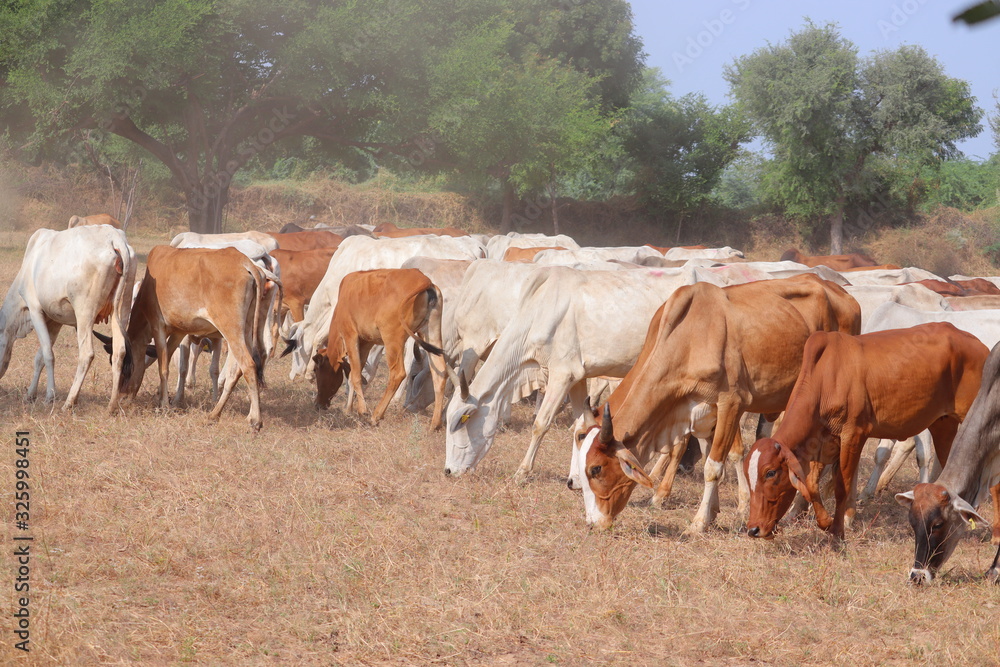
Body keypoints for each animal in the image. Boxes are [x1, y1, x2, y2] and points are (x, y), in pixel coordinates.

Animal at [0, 226, 136, 411]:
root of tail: (114, 237)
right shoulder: (54, 321)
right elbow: (39, 358)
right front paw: (30, 395)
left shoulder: (35, 310)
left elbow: (48, 355)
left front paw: (49, 396)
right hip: (121, 310)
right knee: (119, 352)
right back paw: (111, 405)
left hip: (84, 313)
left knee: (86, 354)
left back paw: (69, 402)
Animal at [119, 246, 275, 431]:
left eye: (125, 368)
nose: (122, 394)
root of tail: (245, 263)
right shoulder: (178, 331)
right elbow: (169, 360)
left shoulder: (158, 326)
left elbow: (163, 367)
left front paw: (164, 405)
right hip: (247, 329)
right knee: (237, 371)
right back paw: (218, 414)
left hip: (231, 329)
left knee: (248, 365)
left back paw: (255, 420)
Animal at [313, 269, 447, 428]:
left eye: (316, 371)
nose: (318, 404)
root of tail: (425, 280)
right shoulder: (366, 342)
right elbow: (353, 375)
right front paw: (348, 410)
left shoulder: (350, 335)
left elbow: (356, 375)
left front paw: (362, 410)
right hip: (431, 333)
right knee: (440, 373)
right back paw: (435, 424)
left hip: (392, 340)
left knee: (398, 374)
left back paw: (376, 416)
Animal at [574, 275, 861, 532]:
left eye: (595, 469)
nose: (592, 523)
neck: (689, 338)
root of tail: (844, 293)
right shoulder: (701, 412)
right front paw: (712, 512)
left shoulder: (731, 403)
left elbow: (713, 467)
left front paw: (699, 522)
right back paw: (799, 512)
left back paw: (841, 516)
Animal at [744, 323, 988, 540]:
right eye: (748, 475)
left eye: (770, 473)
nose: (753, 529)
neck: (826, 378)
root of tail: (980, 345)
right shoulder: (823, 443)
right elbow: (812, 484)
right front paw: (827, 522)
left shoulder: (853, 435)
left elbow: (842, 485)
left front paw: (838, 531)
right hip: (943, 424)